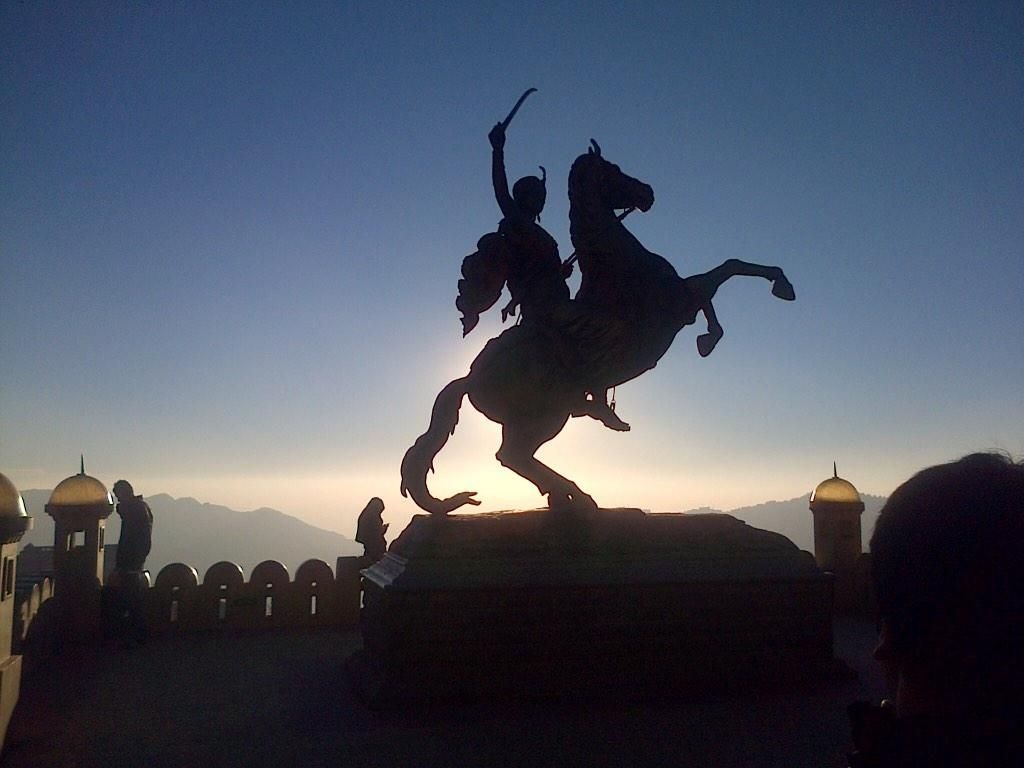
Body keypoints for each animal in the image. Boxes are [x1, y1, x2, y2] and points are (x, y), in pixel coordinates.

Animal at [397, 141, 790, 514]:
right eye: (612, 170)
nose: (647, 192)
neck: (618, 264)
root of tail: (470, 377)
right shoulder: (678, 300)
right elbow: (727, 270)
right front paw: (775, 290)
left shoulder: (681, 298)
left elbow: (719, 279)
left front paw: (710, 334)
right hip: (546, 415)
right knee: (512, 455)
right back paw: (577, 494)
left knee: (516, 457)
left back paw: (567, 489)